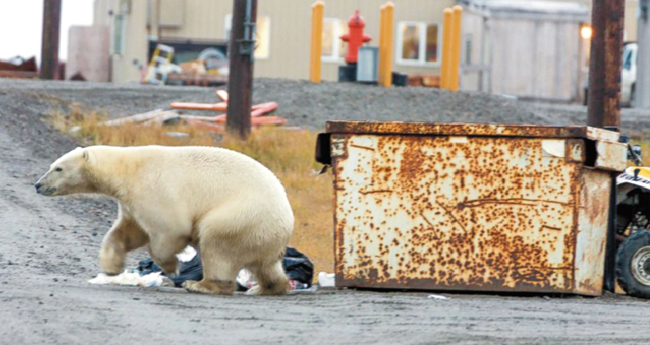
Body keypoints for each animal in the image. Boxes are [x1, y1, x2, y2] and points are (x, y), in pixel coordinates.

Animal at [36, 146, 294, 296]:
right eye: (51, 165)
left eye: (58, 168)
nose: (38, 184)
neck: (128, 169)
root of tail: (286, 221)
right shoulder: (131, 202)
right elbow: (128, 231)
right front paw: (111, 267)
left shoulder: (155, 189)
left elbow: (170, 229)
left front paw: (172, 266)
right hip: (260, 234)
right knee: (266, 265)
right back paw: (267, 287)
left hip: (239, 217)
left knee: (217, 246)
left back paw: (202, 285)